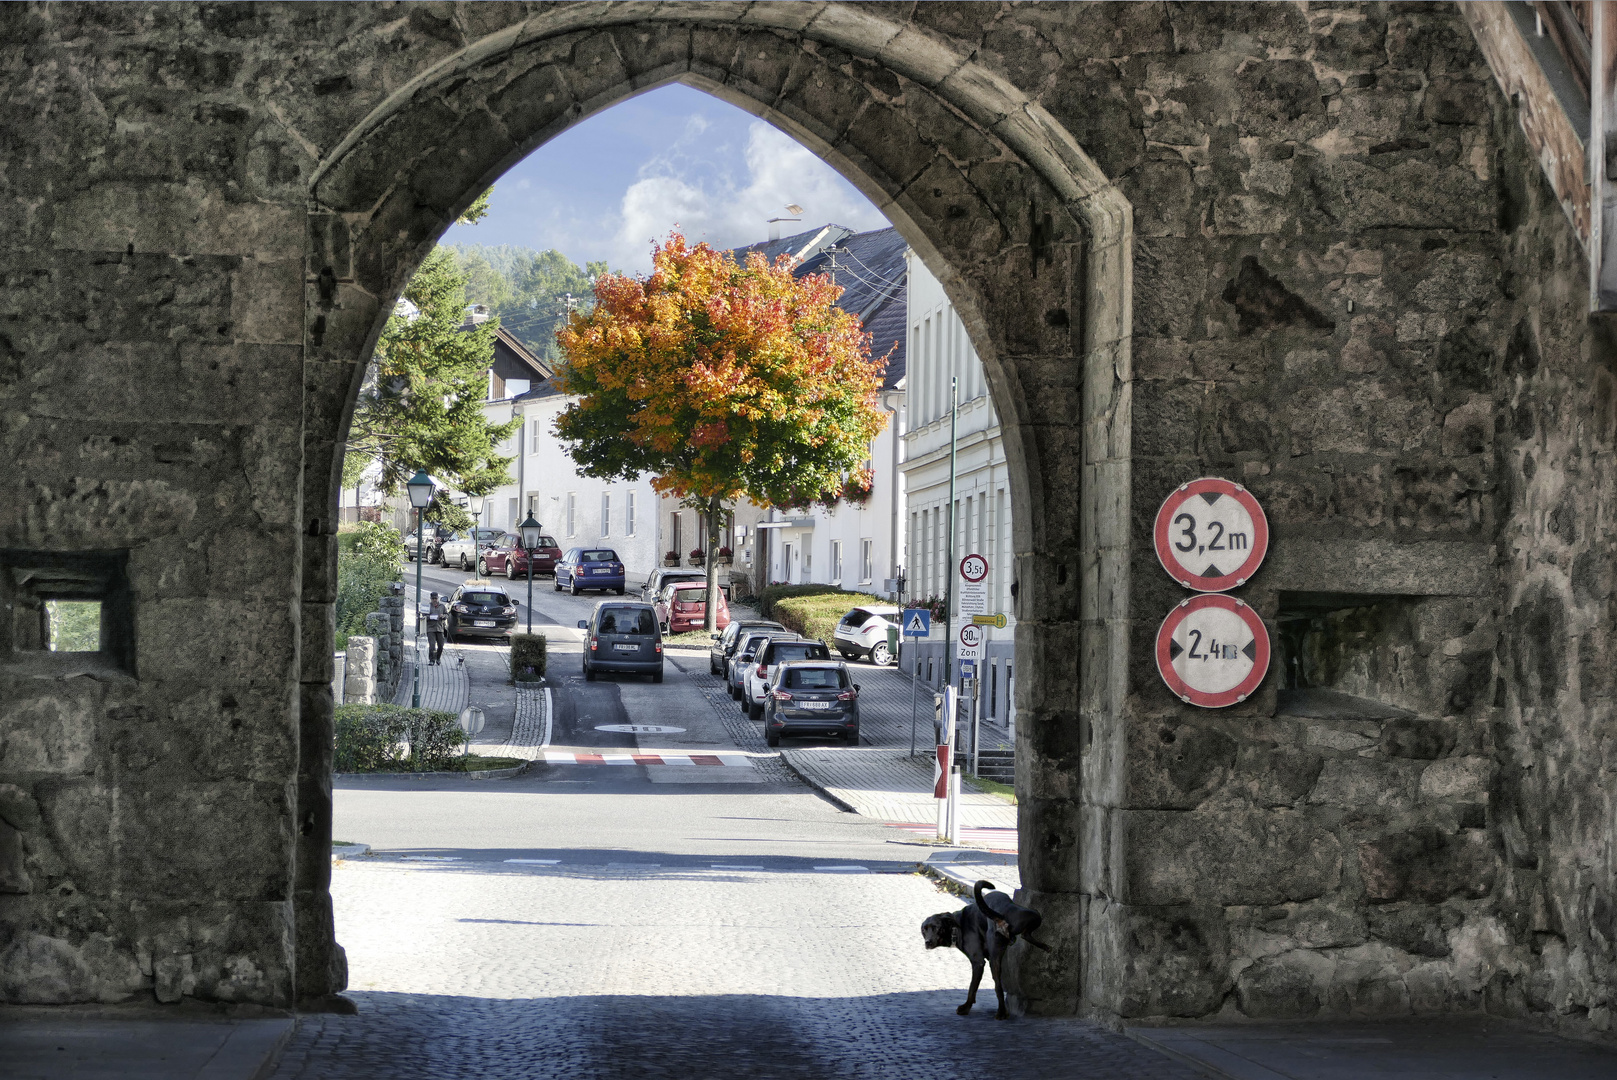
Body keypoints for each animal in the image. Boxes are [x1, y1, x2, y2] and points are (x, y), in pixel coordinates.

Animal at [924, 879, 1047, 1021]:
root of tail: (999, 915)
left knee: (998, 988)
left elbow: (972, 988)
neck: (958, 925)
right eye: (924, 930)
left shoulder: (978, 962)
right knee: (1025, 936)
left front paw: (966, 1007)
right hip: (1032, 917)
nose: (927, 942)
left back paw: (1001, 1013)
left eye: (936, 927)